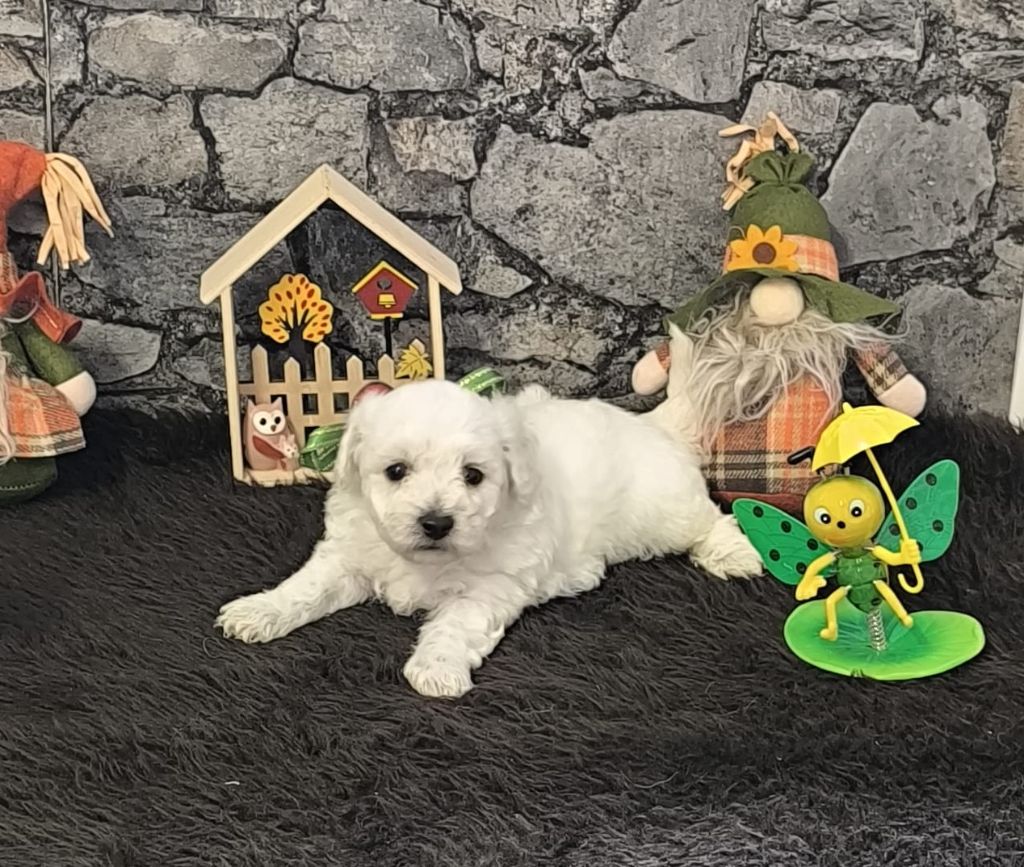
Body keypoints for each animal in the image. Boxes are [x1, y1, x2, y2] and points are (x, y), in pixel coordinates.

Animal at [216, 381, 762, 698]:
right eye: (396, 471)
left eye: (473, 476)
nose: (436, 522)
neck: (428, 559)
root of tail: (651, 425)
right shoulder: (348, 554)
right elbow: (306, 588)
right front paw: (257, 611)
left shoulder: (488, 587)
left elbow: (454, 625)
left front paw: (436, 668)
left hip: (663, 511)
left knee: (711, 519)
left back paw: (735, 554)